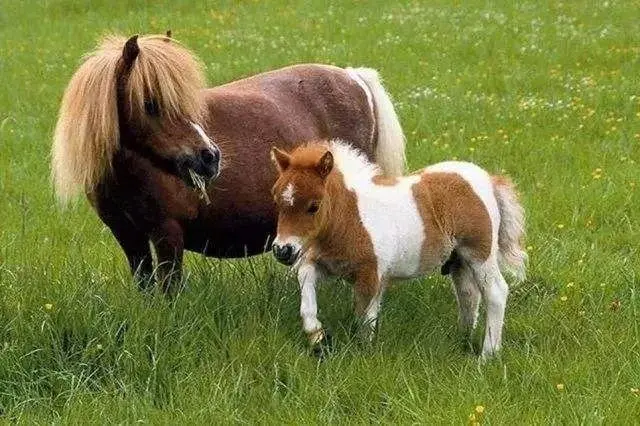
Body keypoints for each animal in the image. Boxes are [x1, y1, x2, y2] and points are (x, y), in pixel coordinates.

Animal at [270, 140, 524, 356]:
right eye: (277, 201)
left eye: (314, 206)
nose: (283, 250)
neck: (351, 218)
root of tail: (489, 180)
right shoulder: (325, 265)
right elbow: (306, 282)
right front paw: (316, 335)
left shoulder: (371, 275)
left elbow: (364, 318)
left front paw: (363, 355)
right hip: (459, 260)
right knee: (468, 294)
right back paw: (463, 341)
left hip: (480, 254)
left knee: (496, 292)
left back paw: (487, 354)